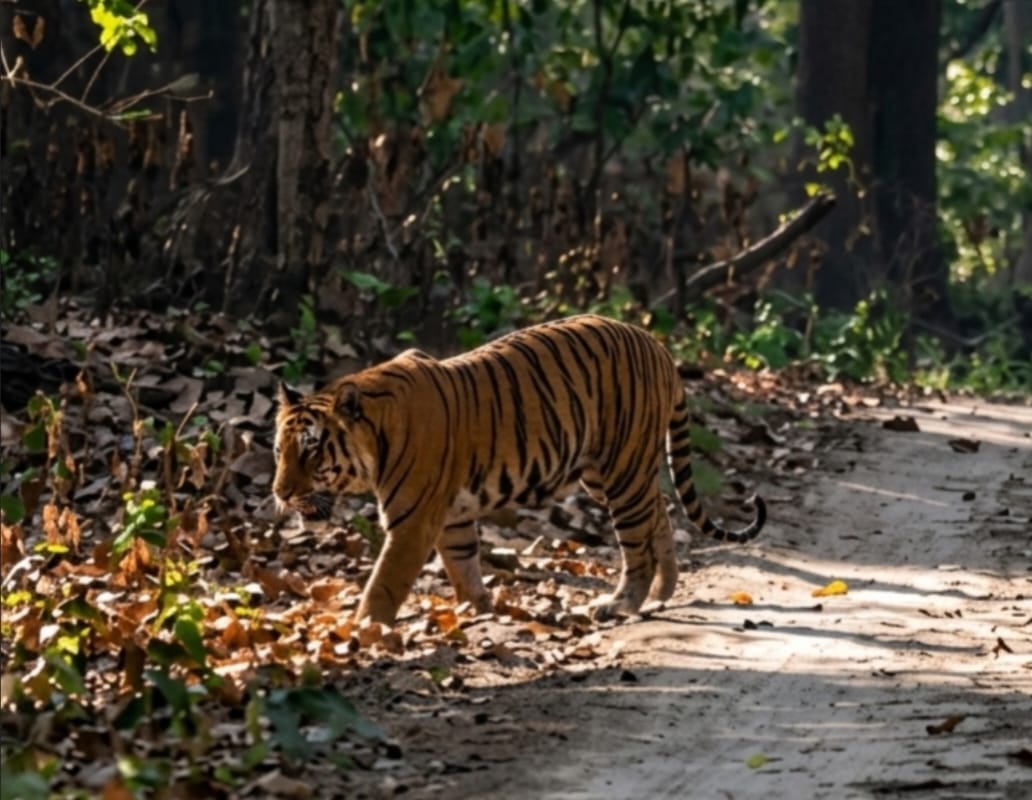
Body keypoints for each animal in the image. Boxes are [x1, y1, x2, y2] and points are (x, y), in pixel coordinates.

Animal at [273, 314, 765, 625]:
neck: (376, 432)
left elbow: (384, 584)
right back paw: (663, 592)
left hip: (622, 469)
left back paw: (621, 604)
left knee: (638, 542)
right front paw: (479, 611)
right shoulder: (450, 516)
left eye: (312, 452)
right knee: (659, 511)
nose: (279, 493)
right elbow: (463, 566)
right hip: (609, 474)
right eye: (279, 450)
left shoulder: (412, 522)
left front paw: (363, 631)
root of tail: (657, 345)